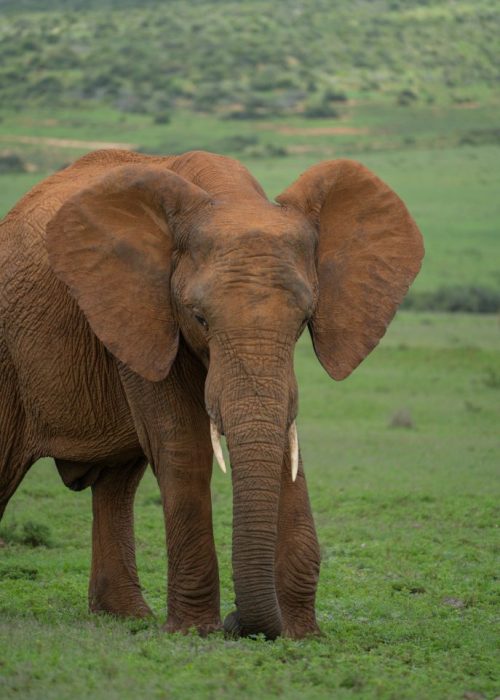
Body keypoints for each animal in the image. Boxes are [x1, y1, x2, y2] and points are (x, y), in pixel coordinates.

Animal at [0, 149, 423, 639]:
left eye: (304, 320)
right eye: (199, 318)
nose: (238, 622)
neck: (231, 196)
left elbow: (285, 446)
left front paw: (302, 634)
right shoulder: (140, 310)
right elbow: (184, 445)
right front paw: (195, 631)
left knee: (117, 485)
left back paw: (126, 617)